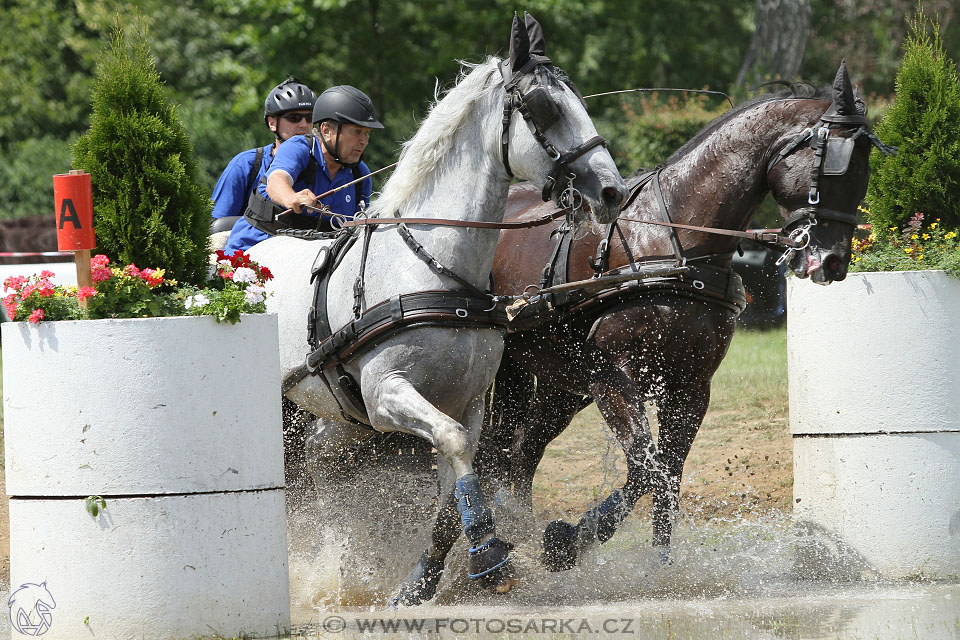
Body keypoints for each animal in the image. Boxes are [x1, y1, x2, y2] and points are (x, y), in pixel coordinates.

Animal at [249, 13, 624, 604]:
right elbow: (453, 445)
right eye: (544, 108)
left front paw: (423, 578)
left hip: (338, 420)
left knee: (323, 468)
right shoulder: (387, 396)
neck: (433, 266)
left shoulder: (466, 403)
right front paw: (488, 554)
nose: (612, 191)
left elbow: (454, 483)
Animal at [478, 61, 892, 568]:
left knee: (522, 452)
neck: (671, 240)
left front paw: (659, 567)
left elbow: (668, 478)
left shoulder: (691, 386)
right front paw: (570, 540)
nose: (833, 263)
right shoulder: (611, 376)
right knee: (496, 451)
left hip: (562, 384)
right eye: (835, 164)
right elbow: (645, 466)